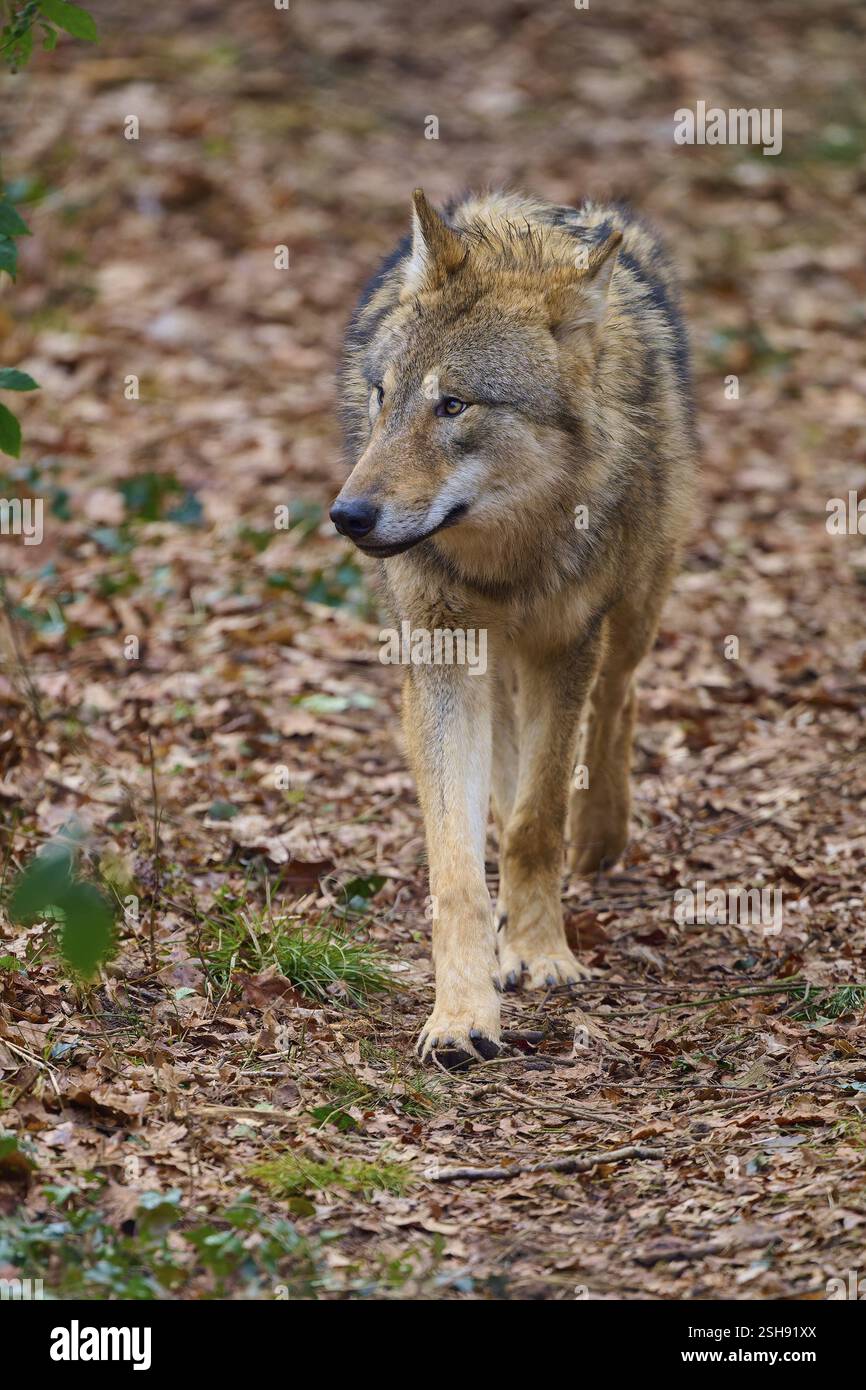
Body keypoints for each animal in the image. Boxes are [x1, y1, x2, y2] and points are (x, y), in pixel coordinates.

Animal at [332, 189, 696, 1068]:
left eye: (453, 404)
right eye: (383, 395)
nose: (346, 515)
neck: (507, 553)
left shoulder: (568, 645)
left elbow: (537, 821)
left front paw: (541, 954)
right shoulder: (440, 654)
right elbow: (459, 862)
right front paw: (463, 1011)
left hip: (632, 611)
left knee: (619, 701)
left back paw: (601, 835)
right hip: (491, 665)